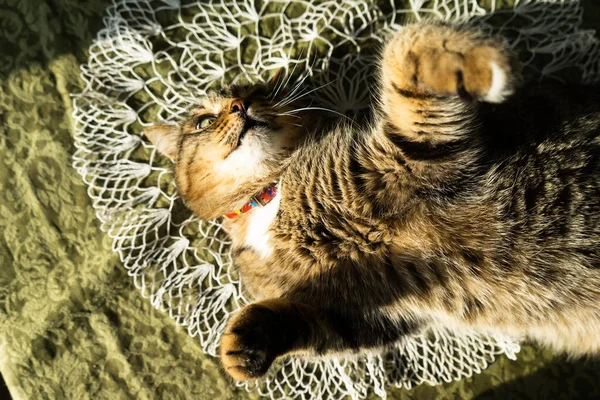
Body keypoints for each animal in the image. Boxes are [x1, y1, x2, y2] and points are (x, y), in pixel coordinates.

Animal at [144, 22, 600, 382]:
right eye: (205, 120)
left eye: (259, 94)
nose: (242, 105)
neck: (269, 197)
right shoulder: (361, 311)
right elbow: (305, 324)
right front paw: (244, 344)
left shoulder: (418, 156)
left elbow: (404, 52)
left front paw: (477, 63)